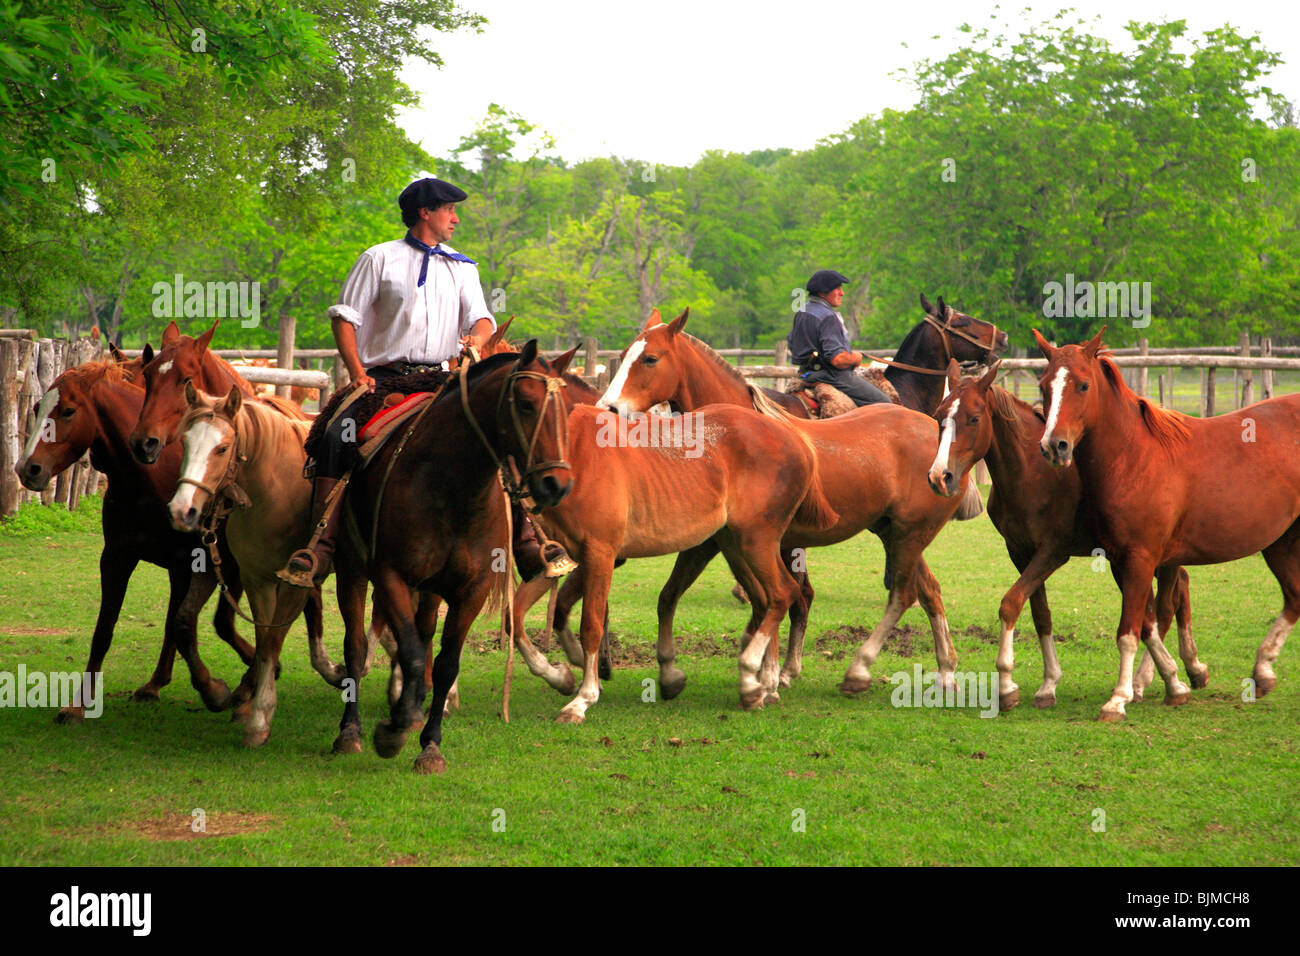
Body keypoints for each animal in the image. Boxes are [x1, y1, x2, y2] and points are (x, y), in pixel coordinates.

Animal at [13, 359, 260, 718]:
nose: (27, 468)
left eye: (69, 410)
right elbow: (106, 629)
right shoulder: (117, 558)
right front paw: (79, 703)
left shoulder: (193, 563)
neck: (148, 478)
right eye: (36, 408)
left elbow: (184, 625)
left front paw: (213, 689)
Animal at [168, 383, 326, 746]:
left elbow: (274, 639)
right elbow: (262, 640)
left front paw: (257, 711)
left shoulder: (291, 585)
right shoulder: (256, 579)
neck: (278, 489)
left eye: (222, 448)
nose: (182, 511)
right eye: (184, 441)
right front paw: (248, 710)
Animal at [597, 309, 975, 696]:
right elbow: (714, 598)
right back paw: (944, 670)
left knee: (904, 593)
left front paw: (768, 677)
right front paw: (768, 671)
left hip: (909, 535)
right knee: (928, 591)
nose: (608, 408)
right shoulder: (723, 542)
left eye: (650, 358)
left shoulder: (749, 543)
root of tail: (939, 441)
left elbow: (776, 600)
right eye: (624, 354)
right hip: (896, 534)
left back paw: (862, 669)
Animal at [925, 359, 1203, 710]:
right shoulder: (1020, 552)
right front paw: (1048, 685)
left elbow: (1011, 602)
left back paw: (1156, 676)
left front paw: (1007, 685)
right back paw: (1189, 668)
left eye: (974, 418)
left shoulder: (1052, 553)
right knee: (1177, 591)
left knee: (1168, 602)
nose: (940, 476)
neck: (1033, 474)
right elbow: (1040, 613)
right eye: (939, 417)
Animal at [1035, 328, 1300, 720]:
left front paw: (1118, 699)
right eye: (1044, 386)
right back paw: (1262, 671)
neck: (1133, 457)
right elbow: (1148, 624)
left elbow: (1129, 631)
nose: (1055, 446)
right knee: (1294, 598)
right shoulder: (1123, 561)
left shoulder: (1142, 558)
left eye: (1083, 385)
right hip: (1281, 542)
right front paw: (1172, 682)